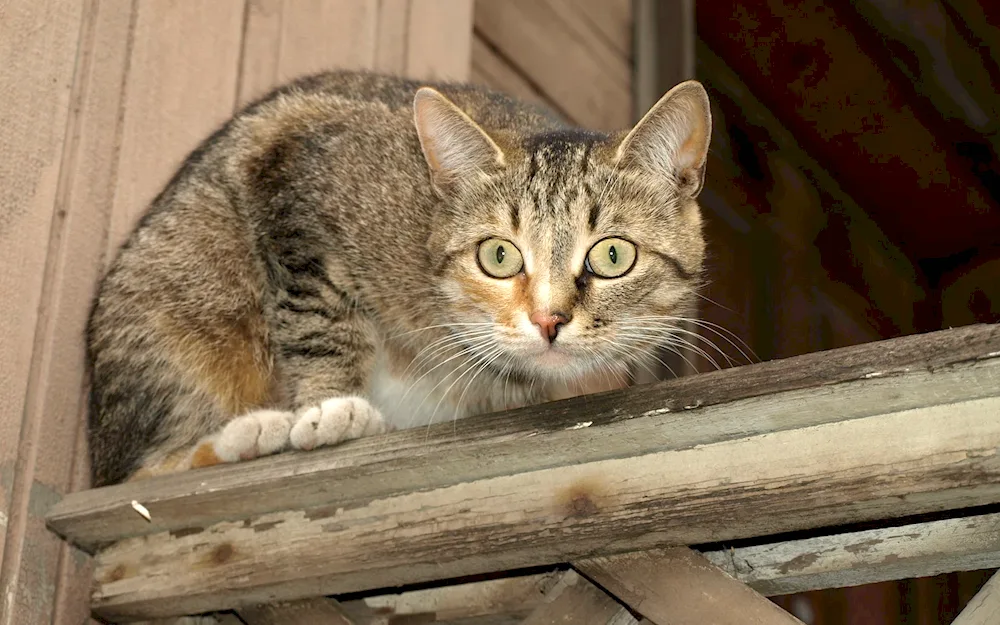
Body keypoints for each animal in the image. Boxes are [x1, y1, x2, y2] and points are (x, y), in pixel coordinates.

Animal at [88, 70, 712, 486]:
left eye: (612, 256)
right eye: (499, 256)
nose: (548, 319)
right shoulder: (291, 163)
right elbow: (318, 318)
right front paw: (330, 405)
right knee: (143, 470)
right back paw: (247, 437)